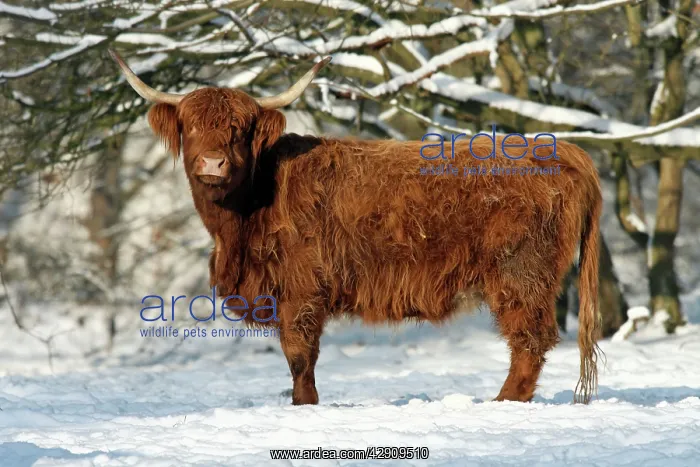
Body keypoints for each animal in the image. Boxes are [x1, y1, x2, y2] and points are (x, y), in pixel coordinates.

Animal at [109, 49, 602, 406]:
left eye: (239, 129)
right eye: (191, 127)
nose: (213, 163)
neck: (239, 223)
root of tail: (564, 151)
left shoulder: (302, 288)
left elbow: (299, 354)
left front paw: (305, 406)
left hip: (520, 273)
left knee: (530, 342)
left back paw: (502, 402)